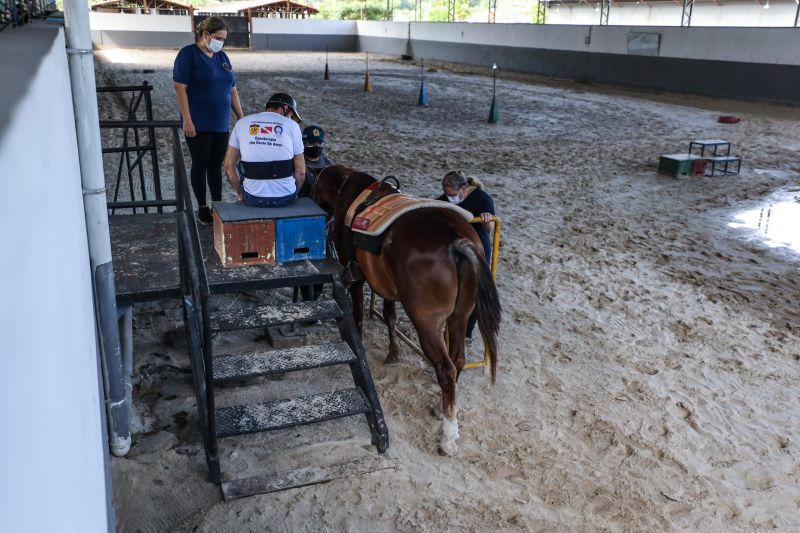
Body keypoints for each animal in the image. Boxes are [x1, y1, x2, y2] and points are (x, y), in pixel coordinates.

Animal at [312, 164, 500, 456]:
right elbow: (389, 315)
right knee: (457, 360)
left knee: (446, 369)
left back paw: (447, 438)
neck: (351, 193)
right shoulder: (388, 286)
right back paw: (442, 409)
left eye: (314, 184)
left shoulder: (357, 277)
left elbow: (357, 314)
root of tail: (456, 241)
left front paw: (363, 344)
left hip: (428, 324)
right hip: (459, 317)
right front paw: (393, 353)